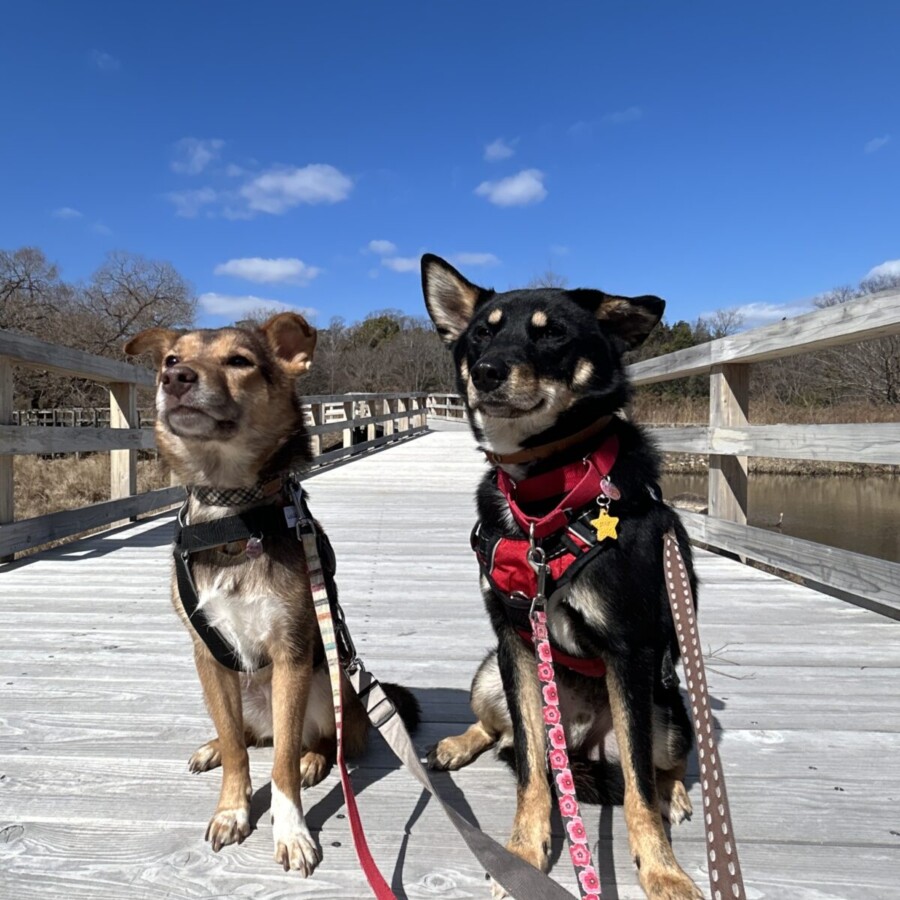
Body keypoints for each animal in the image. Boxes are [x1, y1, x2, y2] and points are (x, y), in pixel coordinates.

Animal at [125, 313, 419, 876]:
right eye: (172, 359)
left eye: (239, 361)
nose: (174, 379)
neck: (230, 511)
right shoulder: (207, 653)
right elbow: (240, 752)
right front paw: (232, 809)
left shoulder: (291, 653)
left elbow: (280, 761)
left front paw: (291, 831)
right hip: (231, 686)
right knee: (244, 734)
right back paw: (215, 746)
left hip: (327, 685)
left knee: (321, 739)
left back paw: (314, 758)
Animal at [421, 255, 702, 900]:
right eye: (481, 334)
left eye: (551, 336)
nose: (486, 371)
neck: (543, 497)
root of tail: (582, 740)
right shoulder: (516, 641)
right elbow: (530, 768)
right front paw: (523, 856)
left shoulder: (629, 650)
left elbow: (639, 792)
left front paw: (663, 870)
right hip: (489, 675)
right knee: (507, 737)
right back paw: (457, 744)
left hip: (667, 708)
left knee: (656, 766)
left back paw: (674, 793)